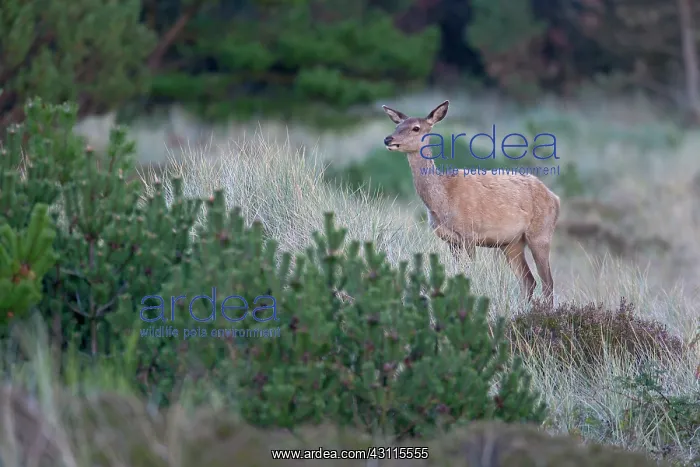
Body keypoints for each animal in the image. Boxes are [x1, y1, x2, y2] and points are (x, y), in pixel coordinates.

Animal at [382, 100, 560, 307]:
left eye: (416, 128)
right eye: (397, 125)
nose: (388, 139)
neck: (443, 200)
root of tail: (555, 198)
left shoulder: (469, 234)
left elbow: (470, 273)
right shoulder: (451, 241)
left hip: (540, 234)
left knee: (547, 282)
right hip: (511, 243)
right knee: (528, 280)